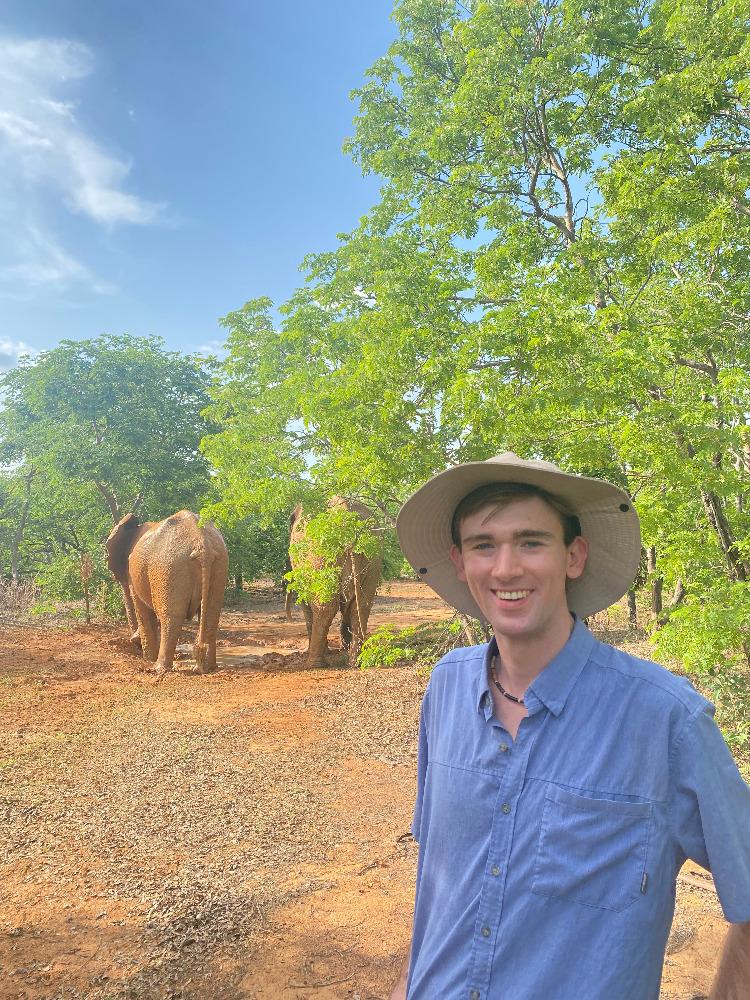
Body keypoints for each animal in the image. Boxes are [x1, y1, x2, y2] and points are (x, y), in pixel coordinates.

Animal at [105, 510, 228, 676]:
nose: (133, 641)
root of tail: (202, 545)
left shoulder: (133, 575)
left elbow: (142, 609)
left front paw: (147, 658)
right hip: (220, 563)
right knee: (211, 613)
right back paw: (206, 668)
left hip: (168, 569)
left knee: (170, 617)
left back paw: (159, 668)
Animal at [288, 497, 383, 668]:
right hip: (374, 557)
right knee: (362, 605)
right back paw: (355, 661)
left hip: (321, 555)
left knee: (325, 608)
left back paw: (314, 664)